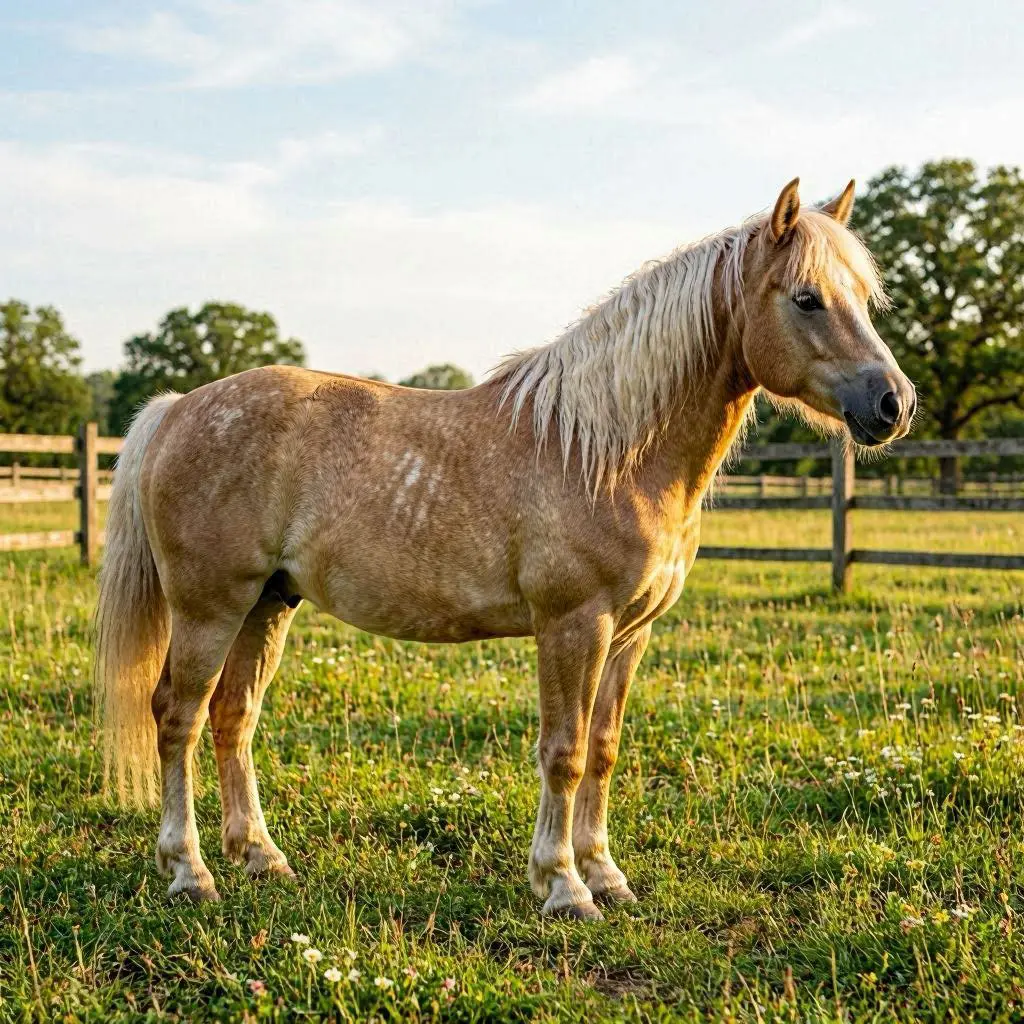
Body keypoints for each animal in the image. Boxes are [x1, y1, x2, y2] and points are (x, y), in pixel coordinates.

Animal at [96, 178, 916, 920]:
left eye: (862, 297)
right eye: (806, 298)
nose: (894, 404)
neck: (605, 450)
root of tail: (179, 408)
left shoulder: (630, 635)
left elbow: (604, 748)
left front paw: (606, 875)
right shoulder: (573, 625)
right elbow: (565, 752)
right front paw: (563, 887)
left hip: (268, 604)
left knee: (233, 717)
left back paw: (260, 858)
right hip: (209, 607)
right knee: (177, 716)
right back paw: (189, 872)